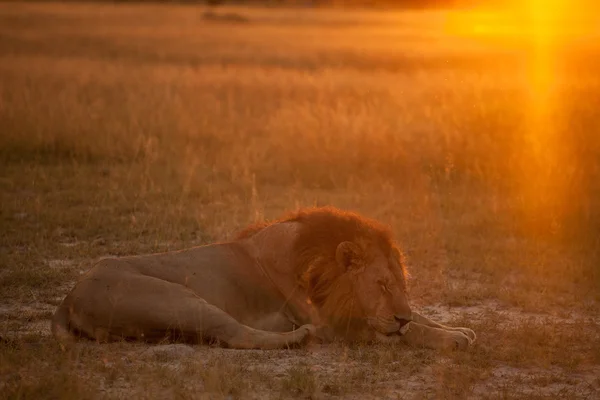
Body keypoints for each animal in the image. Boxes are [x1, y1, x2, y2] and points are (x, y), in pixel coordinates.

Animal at [51, 206, 476, 350]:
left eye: (401, 284)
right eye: (381, 285)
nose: (399, 317)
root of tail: (67, 299)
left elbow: (422, 318)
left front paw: (457, 328)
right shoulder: (334, 324)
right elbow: (414, 332)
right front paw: (451, 338)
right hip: (177, 299)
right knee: (237, 336)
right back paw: (299, 338)